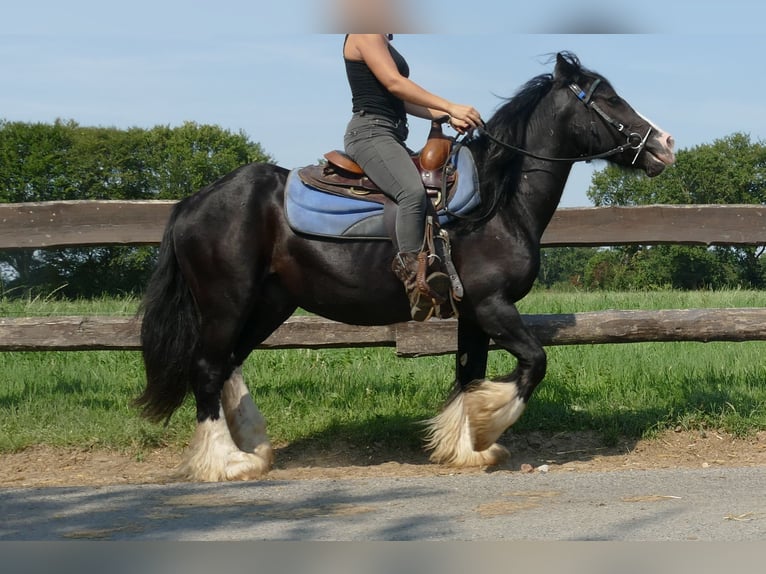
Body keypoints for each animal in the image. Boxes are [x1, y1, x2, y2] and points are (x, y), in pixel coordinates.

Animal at [135, 54, 676, 484]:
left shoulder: (473, 313)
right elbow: (533, 363)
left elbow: (469, 373)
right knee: (207, 368)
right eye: (608, 98)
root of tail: (192, 203)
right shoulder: (493, 305)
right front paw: (486, 426)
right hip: (226, 303)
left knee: (228, 363)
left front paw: (464, 447)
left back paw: (253, 448)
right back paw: (226, 462)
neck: (496, 202)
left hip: (268, 304)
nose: (666, 144)